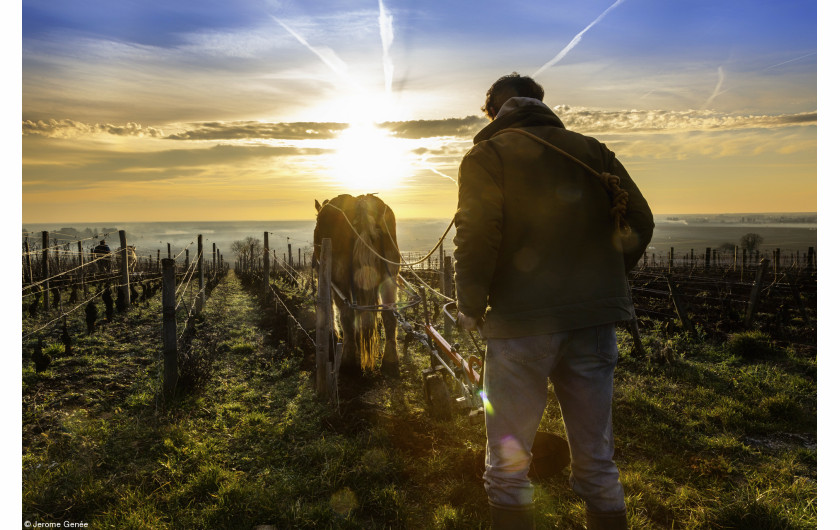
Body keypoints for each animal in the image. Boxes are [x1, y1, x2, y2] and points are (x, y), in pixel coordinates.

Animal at [314, 194, 402, 376]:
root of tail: (361, 203)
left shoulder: (325, 276)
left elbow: (327, 304)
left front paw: (332, 332)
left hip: (340, 277)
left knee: (346, 315)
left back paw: (348, 359)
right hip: (389, 275)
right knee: (389, 314)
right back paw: (390, 360)